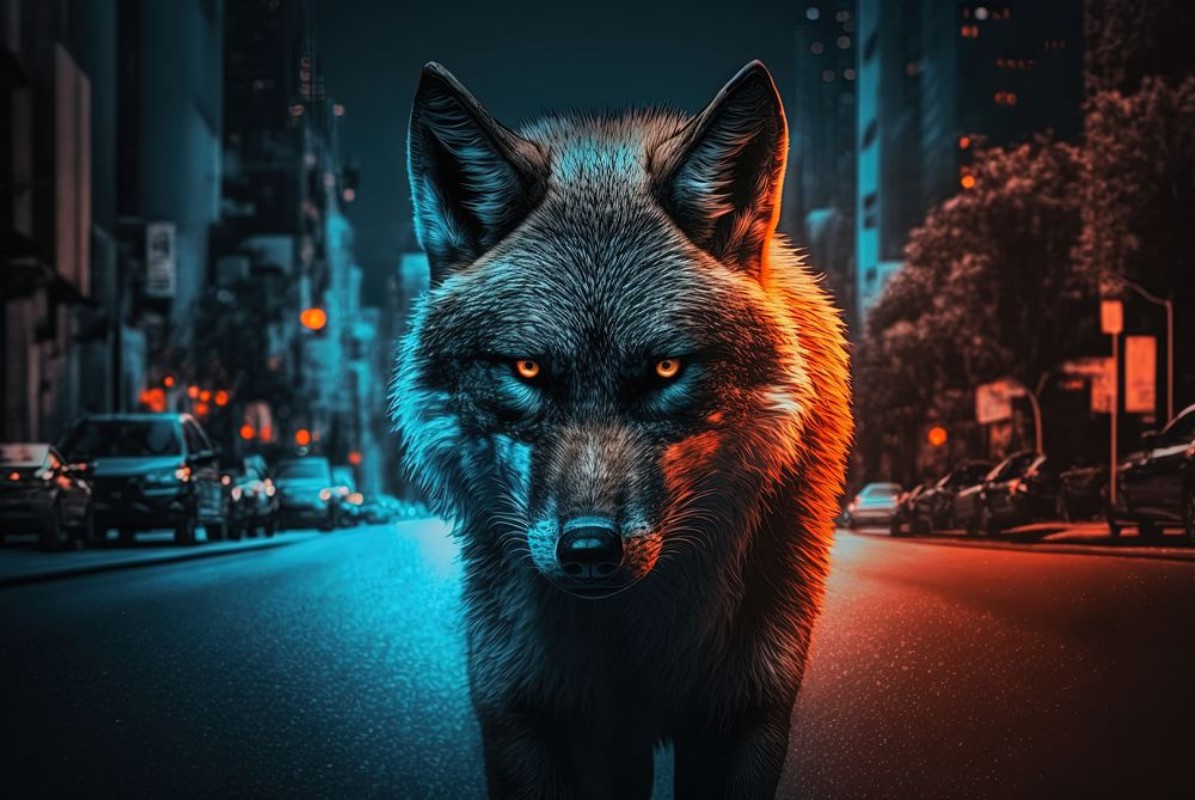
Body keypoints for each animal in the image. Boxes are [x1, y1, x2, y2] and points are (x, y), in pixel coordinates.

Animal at [392, 59, 852, 799]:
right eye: (527, 368)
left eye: (665, 368)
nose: (588, 549)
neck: (634, 637)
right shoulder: (523, 713)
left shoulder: (747, 714)